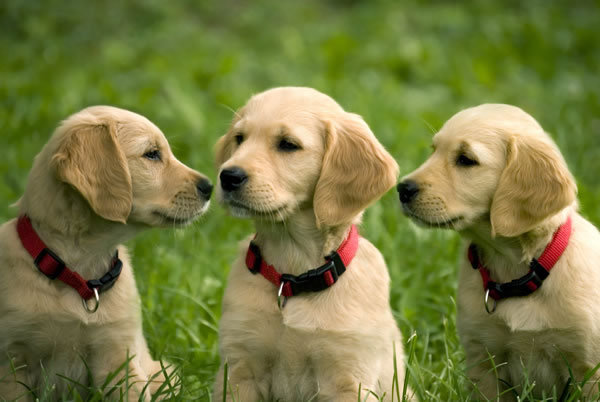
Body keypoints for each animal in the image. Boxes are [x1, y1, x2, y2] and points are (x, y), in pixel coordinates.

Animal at [0, 105, 213, 400]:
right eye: (152, 154)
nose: (210, 187)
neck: (79, 273)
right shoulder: (13, 361)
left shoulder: (119, 355)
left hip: (165, 374)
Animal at [213, 86, 406, 400]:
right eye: (240, 138)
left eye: (288, 145)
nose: (228, 176)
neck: (293, 276)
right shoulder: (240, 368)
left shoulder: (347, 378)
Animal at [398, 103, 600, 398]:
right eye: (433, 150)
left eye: (465, 159)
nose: (402, 188)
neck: (516, 271)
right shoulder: (484, 359)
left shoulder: (588, 369)